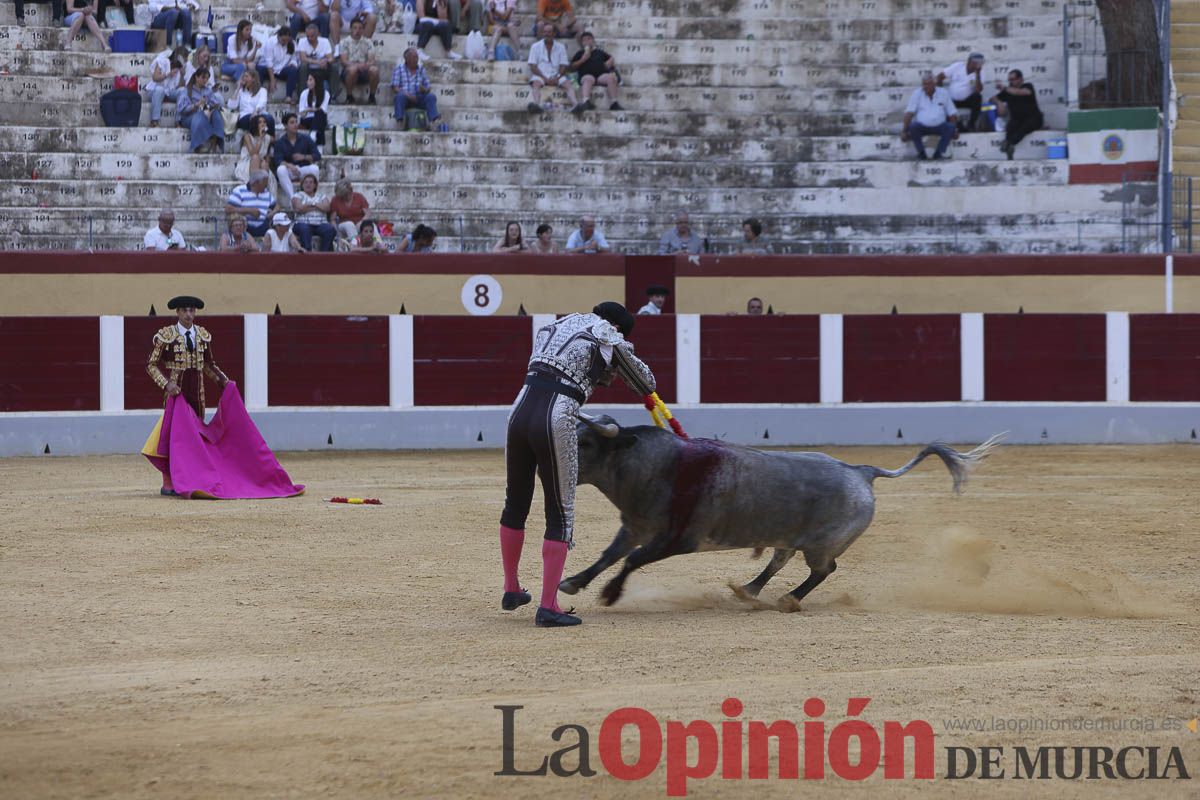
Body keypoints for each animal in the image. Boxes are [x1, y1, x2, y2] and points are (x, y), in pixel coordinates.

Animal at [561, 417, 1003, 609]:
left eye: (586, 443)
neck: (660, 466)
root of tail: (862, 471)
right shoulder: (635, 526)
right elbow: (609, 556)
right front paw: (572, 582)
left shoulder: (678, 539)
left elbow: (631, 560)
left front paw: (610, 594)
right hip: (792, 538)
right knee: (779, 560)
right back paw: (750, 589)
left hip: (822, 545)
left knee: (823, 570)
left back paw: (788, 599)